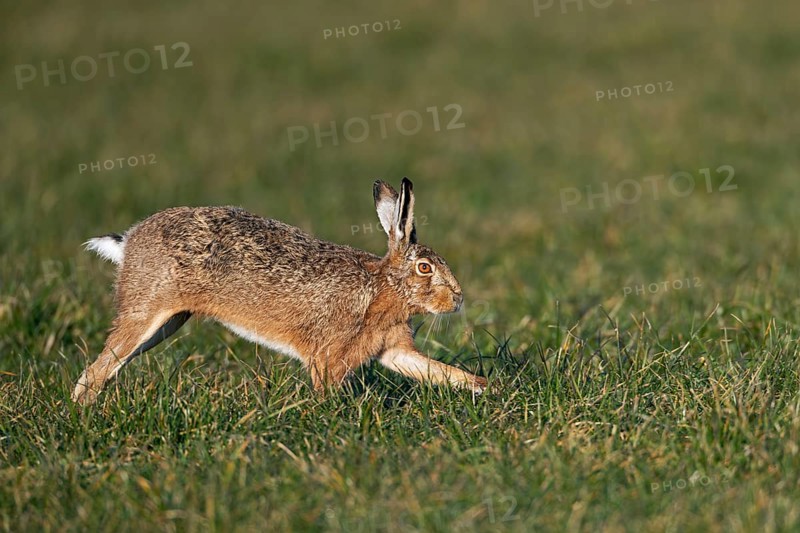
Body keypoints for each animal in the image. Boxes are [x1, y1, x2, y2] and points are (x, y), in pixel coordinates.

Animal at [72, 178, 488, 405]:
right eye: (424, 268)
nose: (458, 299)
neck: (384, 288)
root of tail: (129, 241)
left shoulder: (392, 349)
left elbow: (436, 371)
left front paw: (486, 388)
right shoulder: (326, 357)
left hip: (167, 323)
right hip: (146, 311)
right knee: (95, 371)